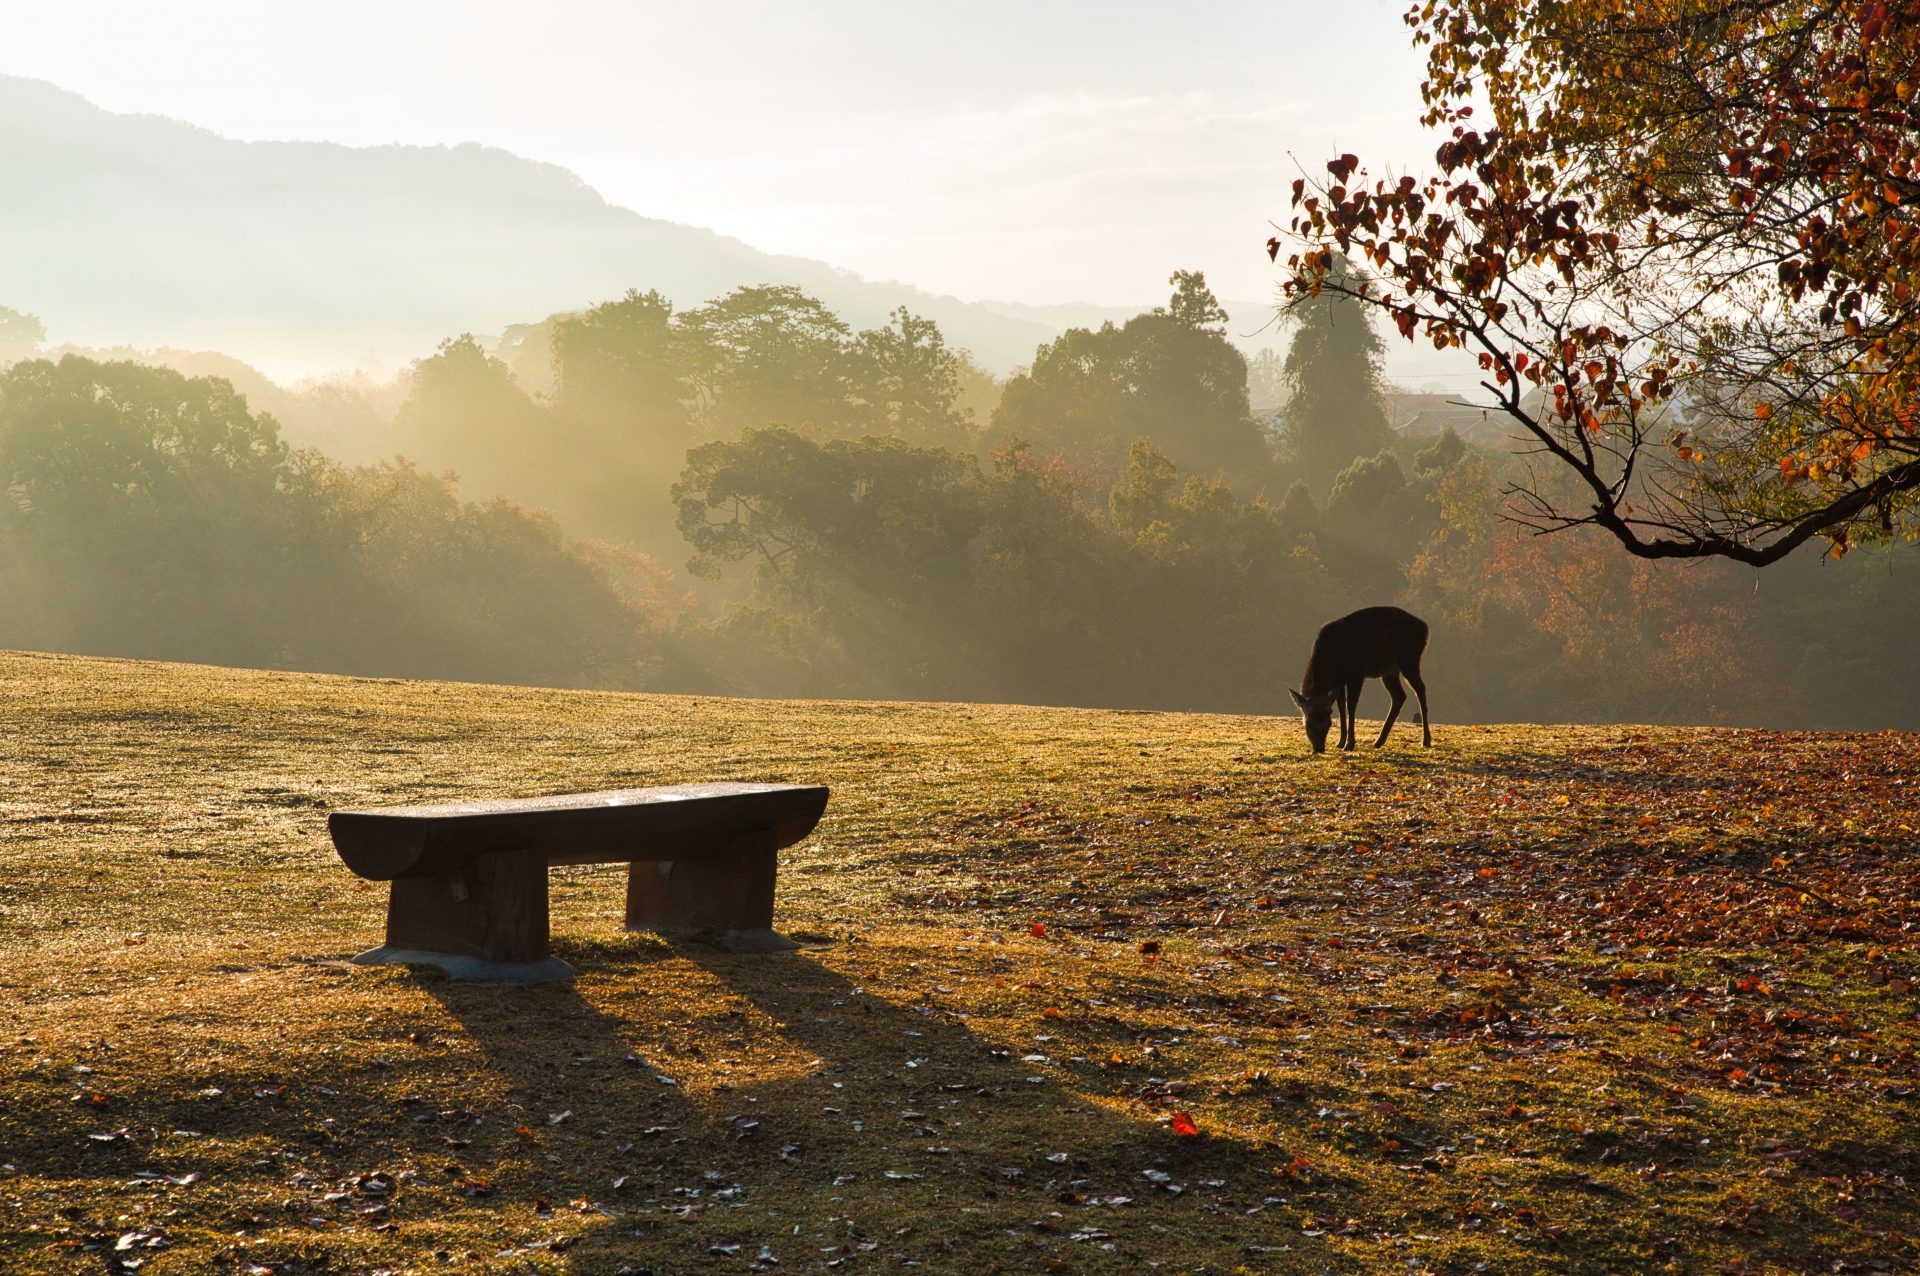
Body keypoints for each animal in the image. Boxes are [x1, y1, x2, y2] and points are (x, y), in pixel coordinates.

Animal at [1288, 606, 1432, 753]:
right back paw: (1378, 741)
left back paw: (1426, 740)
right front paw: (1340, 742)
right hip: (1390, 671)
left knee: (1420, 689)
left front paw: (1349, 744)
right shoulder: (1339, 681)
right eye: (1307, 726)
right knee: (1399, 696)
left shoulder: (1356, 673)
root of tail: (1424, 627)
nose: (1319, 748)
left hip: (1409, 659)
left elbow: (1351, 705)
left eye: (1329, 724)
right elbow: (1341, 706)